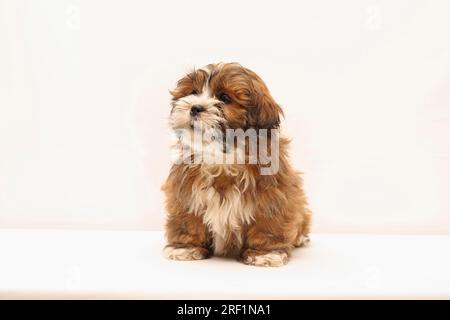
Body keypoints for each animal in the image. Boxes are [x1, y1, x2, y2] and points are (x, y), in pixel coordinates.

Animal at [163, 63, 312, 268]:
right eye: (193, 92)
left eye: (225, 98)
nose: (195, 108)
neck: (222, 156)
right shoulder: (185, 189)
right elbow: (187, 218)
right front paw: (185, 248)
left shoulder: (272, 192)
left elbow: (267, 222)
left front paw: (264, 254)